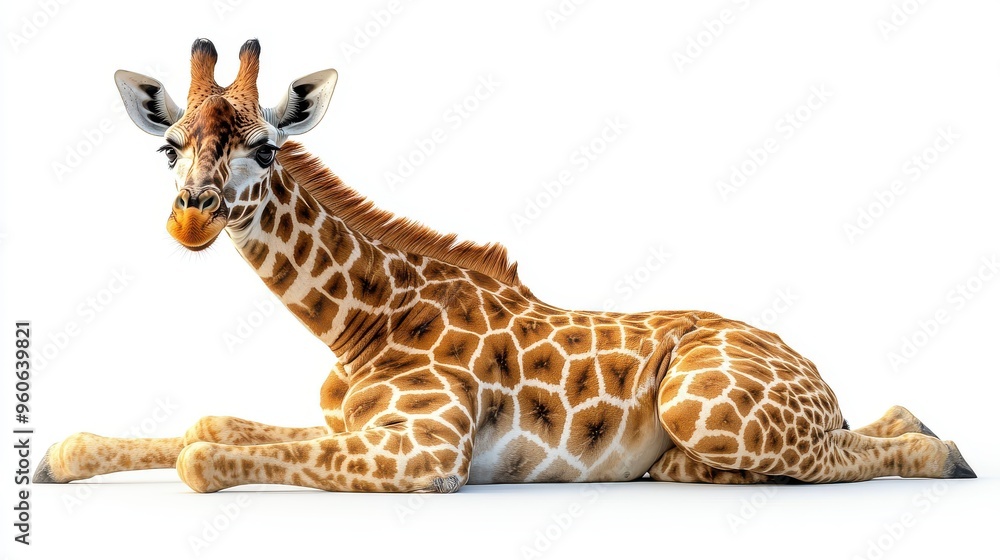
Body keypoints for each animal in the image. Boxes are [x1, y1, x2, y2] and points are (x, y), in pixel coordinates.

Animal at [34, 39, 975, 493]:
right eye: (169, 146)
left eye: (266, 147)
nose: (190, 220)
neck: (355, 327)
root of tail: (814, 371)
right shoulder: (355, 426)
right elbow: (209, 423)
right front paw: (58, 459)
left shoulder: (428, 452)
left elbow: (202, 456)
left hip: (698, 402)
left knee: (857, 450)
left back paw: (948, 454)